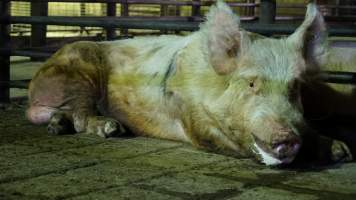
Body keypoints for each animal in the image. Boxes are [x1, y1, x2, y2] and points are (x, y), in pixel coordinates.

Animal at [26, 0, 352, 165]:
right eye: (250, 84)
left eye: (294, 88)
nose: (286, 137)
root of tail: (33, 86)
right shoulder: (189, 115)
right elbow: (217, 140)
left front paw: (341, 151)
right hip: (80, 72)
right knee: (82, 115)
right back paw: (110, 129)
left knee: (65, 115)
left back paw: (57, 127)